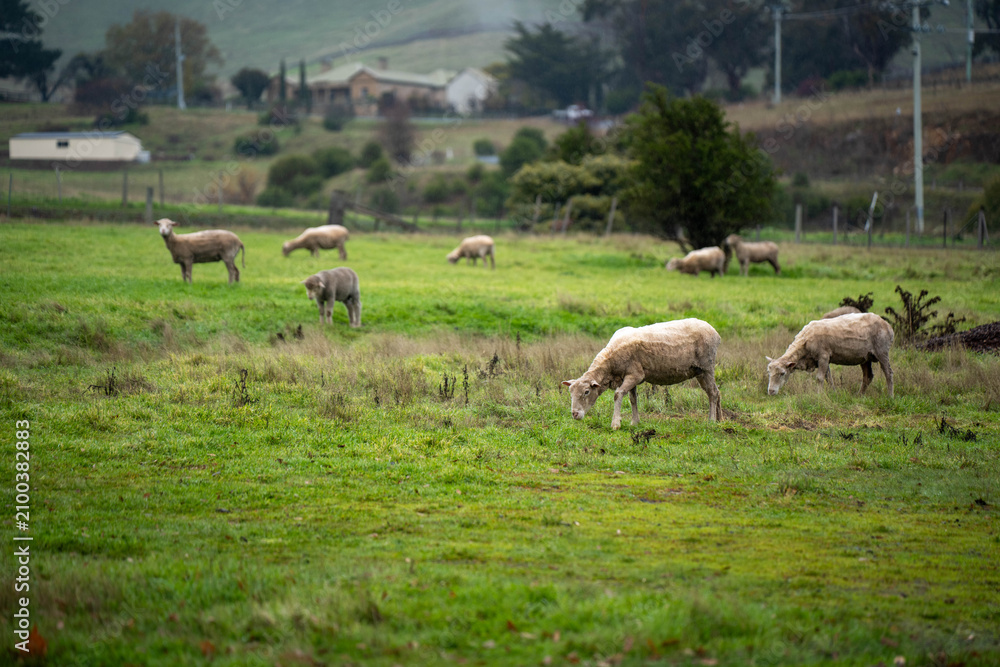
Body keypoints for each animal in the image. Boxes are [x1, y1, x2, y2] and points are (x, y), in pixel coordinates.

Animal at [562, 319, 722, 430]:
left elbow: (618, 395)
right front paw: (635, 422)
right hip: (699, 371)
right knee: (716, 391)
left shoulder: (635, 374)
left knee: (712, 393)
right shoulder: (630, 377)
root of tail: (714, 331)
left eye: (586, 392)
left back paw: (711, 421)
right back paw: (720, 420)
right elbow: (633, 399)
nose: (574, 414)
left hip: (707, 367)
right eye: (570, 392)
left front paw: (616, 423)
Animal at [766, 312, 894, 397]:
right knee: (868, 376)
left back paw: (890, 396)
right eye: (769, 373)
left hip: (882, 351)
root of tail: (887, 324)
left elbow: (820, 378)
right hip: (865, 357)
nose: (771, 391)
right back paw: (859, 395)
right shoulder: (823, 359)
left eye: (782, 373)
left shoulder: (823, 356)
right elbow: (829, 378)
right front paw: (833, 393)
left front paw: (819, 396)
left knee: (888, 373)